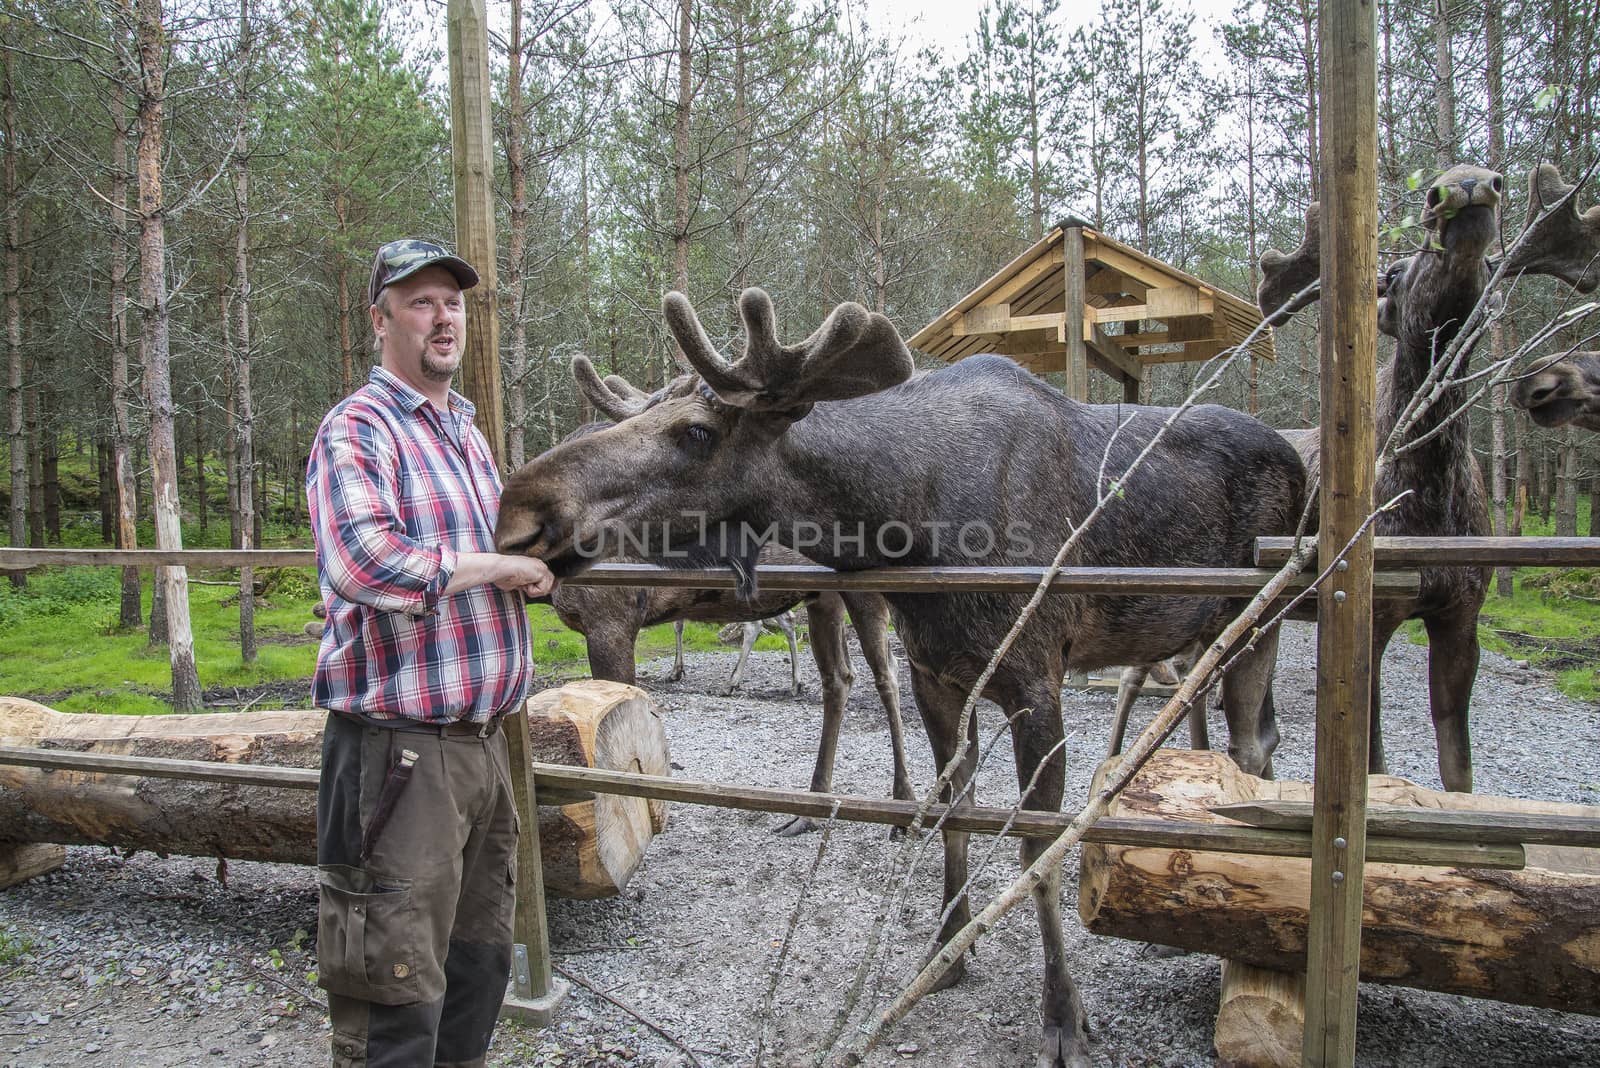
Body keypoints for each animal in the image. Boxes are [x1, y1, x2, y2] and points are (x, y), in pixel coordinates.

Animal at [489, 287, 1299, 1061]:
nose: (520, 509)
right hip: (1205, 632)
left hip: (1263, 611)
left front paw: (1064, 1017)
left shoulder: (1036, 680)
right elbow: (955, 811)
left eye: (696, 432)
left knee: (1254, 745)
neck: (911, 519)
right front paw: (947, 950)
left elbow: (1036, 846)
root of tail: (1297, 456)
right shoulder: (936, 676)